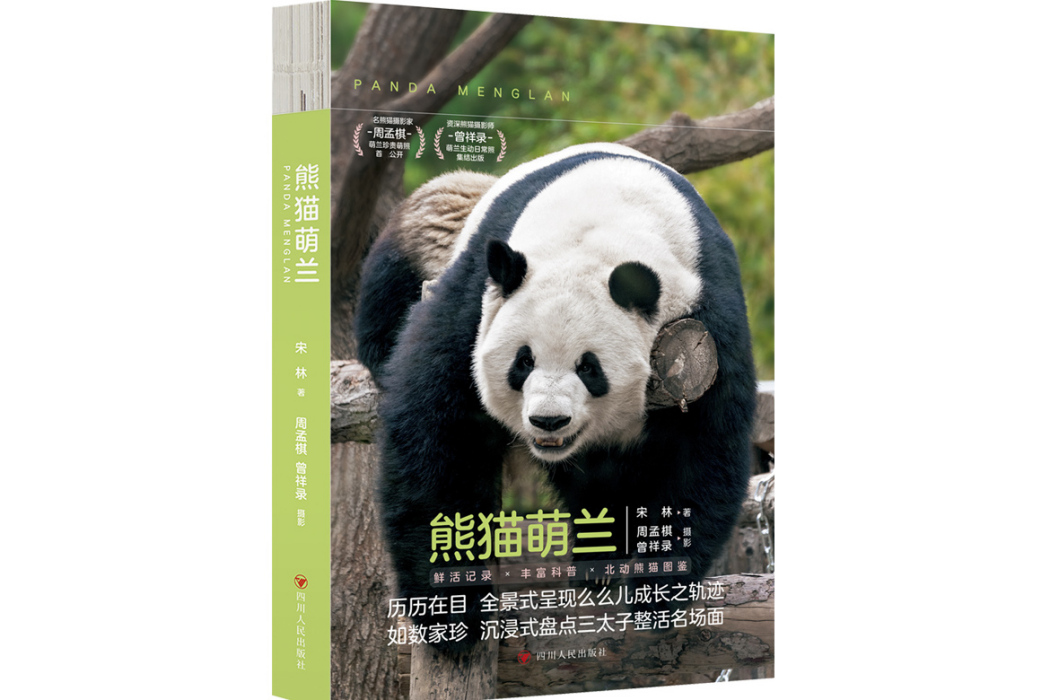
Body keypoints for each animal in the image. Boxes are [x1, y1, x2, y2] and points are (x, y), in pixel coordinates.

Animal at [355, 143, 756, 652]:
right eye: (522, 361)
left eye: (590, 368)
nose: (548, 421)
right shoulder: (479, 300)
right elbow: (439, 433)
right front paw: (451, 615)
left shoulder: (706, 329)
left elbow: (703, 453)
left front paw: (655, 595)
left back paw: (600, 565)